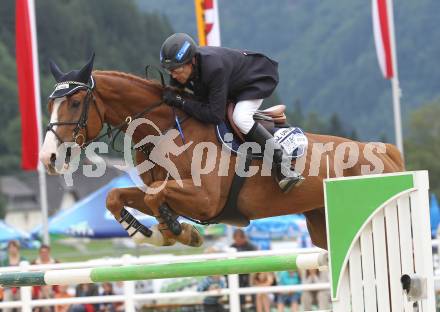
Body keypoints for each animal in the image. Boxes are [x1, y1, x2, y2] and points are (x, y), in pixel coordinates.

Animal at [39, 70, 404, 249]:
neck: (165, 129)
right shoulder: (171, 192)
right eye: (49, 104)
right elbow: (117, 196)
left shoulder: (204, 199)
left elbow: (157, 198)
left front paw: (178, 232)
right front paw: (154, 234)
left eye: (74, 103)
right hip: (320, 224)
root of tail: (385, 151)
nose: (48, 157)